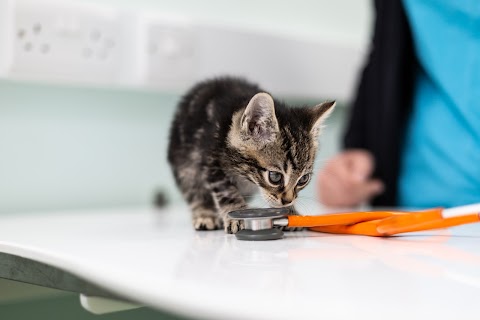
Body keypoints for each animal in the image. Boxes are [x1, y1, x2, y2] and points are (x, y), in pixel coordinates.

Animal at [167, 77, 336, 232]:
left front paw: (290, 213)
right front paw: (237, 215)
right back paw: (204, 214)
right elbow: (226, 191)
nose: (287, 201)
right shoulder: (209, 159)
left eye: (303, 180)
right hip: (184, 165)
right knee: (194, 190)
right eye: (275, 177)